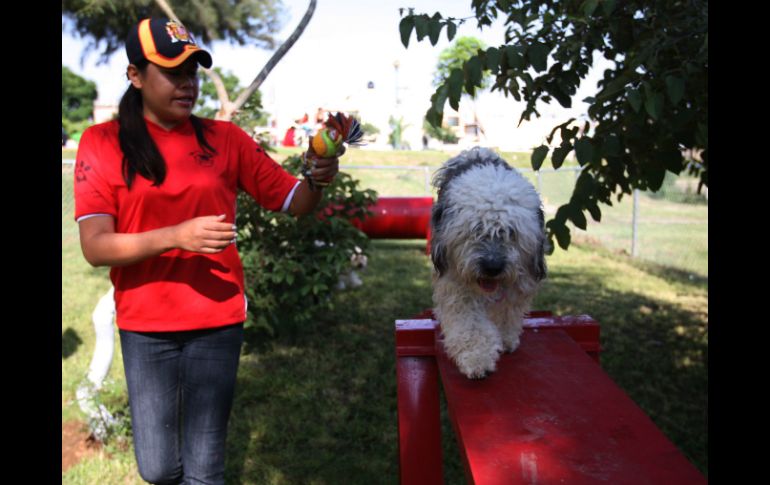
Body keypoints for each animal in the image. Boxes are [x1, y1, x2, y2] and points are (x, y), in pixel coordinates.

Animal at [432, 147, 544, 378]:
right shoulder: (456, 284)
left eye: (511, 232)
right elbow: (470, 323)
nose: (492, 267)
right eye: (476, 229)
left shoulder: (519, 283)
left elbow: (508, 312)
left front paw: (506, 338)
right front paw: (477, 358)